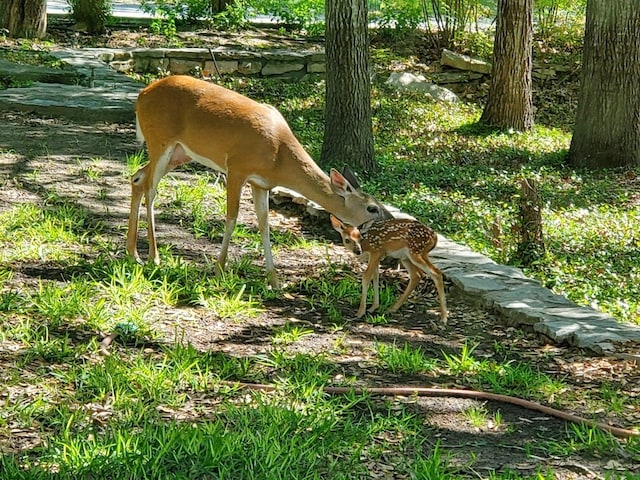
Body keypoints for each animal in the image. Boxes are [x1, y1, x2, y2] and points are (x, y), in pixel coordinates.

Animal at [126, 74, 390, 284]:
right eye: (372, 207)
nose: (390, 219)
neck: (278, 156)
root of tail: (141, 95)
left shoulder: (261, 183)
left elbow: (264, 225)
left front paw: (274, 280)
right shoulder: (236, 168)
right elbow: (232, 218)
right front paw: (219, 269)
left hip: (180, 153)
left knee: (138, 177)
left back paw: (133, 253)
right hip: (160, 140)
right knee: (150, 188)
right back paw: (154, 257)